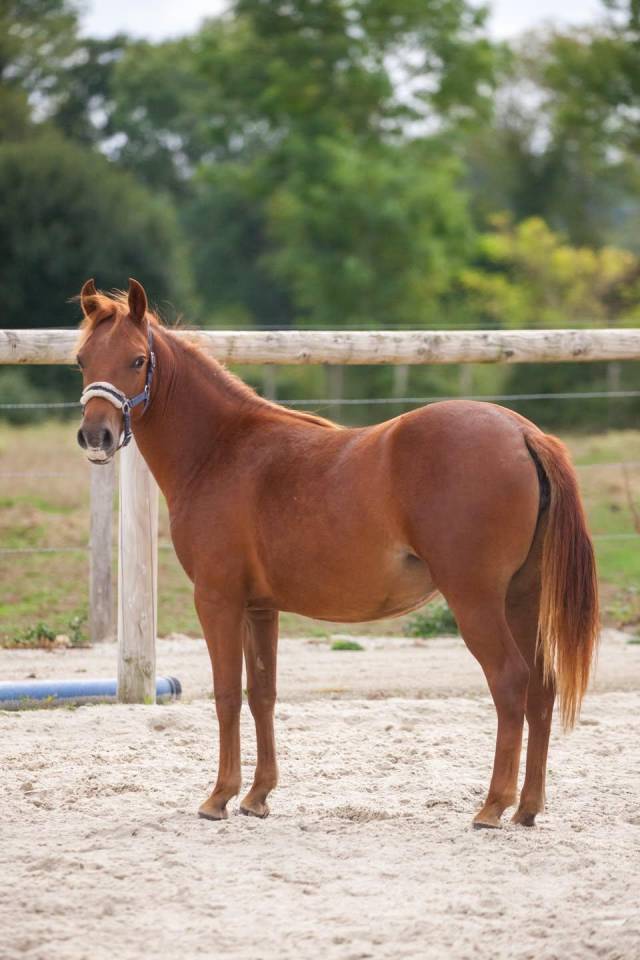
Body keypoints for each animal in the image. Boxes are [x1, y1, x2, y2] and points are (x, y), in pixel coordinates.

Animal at [76, 278, 599, 828]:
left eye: (136, 360)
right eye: (82, 360)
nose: (95, 436)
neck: (222, 450)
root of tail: (523, 432)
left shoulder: (217, 600)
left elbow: (226, 694)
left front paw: (219, 796)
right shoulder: (259, 608)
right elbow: (262, 693)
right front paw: (257, 795)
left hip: (475, 600)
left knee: (510, 681)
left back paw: (493, 805)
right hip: (522, 596)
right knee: (542, 685)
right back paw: (527, 808)